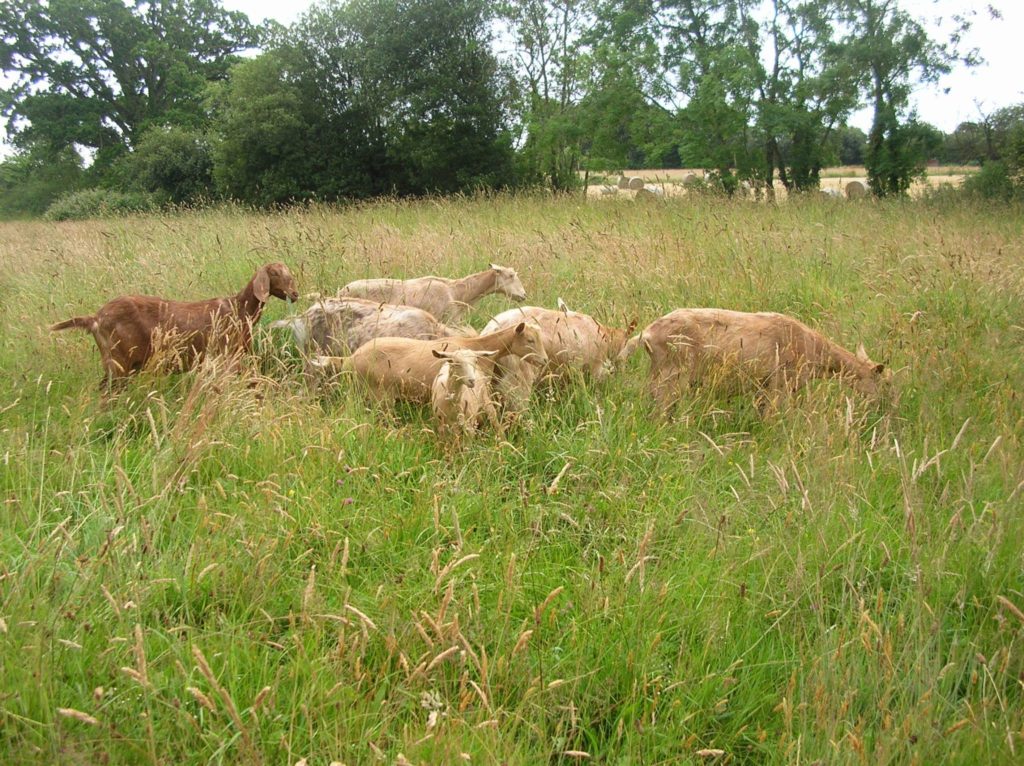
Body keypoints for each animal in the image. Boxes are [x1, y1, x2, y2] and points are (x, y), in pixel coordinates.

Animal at [50, 262, 299, 389]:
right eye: (274, 273)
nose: (295, 294)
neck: (239, 309)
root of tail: (95, 318)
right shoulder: (226, 357)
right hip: (118, 361)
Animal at [622, 307, 888, 419]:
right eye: (885, 383)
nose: (884, 407)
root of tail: (646, 334)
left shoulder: (765, 386)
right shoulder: (781, 385)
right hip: (673, 375)